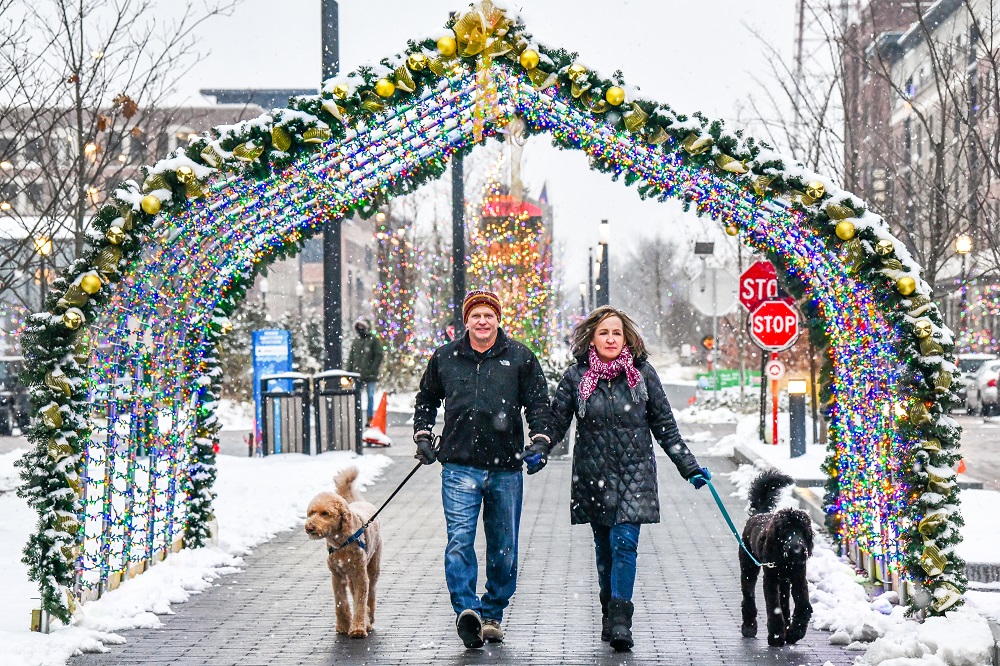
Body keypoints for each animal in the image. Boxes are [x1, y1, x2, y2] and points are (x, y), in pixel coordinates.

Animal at [302, 464, 380, 636]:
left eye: (325, 513)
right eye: (311, 513)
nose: (309, 527)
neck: (341, 542)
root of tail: (359, 502)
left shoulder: (360, 575)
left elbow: (360, 601)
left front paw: (358, 628)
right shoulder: (337, 575)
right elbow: (340, 602)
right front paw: (343, 625)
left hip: (373, 567)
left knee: (371, 592)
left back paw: (370, 618)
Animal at [744, 466, 812, 644]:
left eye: (802, 531)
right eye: (786, 531)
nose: (797, 550)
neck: (786, 561)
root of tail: (759, 514)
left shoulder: (799, 577)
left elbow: (803, 605)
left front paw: (796, 632)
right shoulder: (771, 578)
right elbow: (774, 608)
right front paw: (776, 636)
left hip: (784, 581)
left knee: (785, 602)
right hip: (748, 566)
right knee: (748, 595)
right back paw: (749, 627)